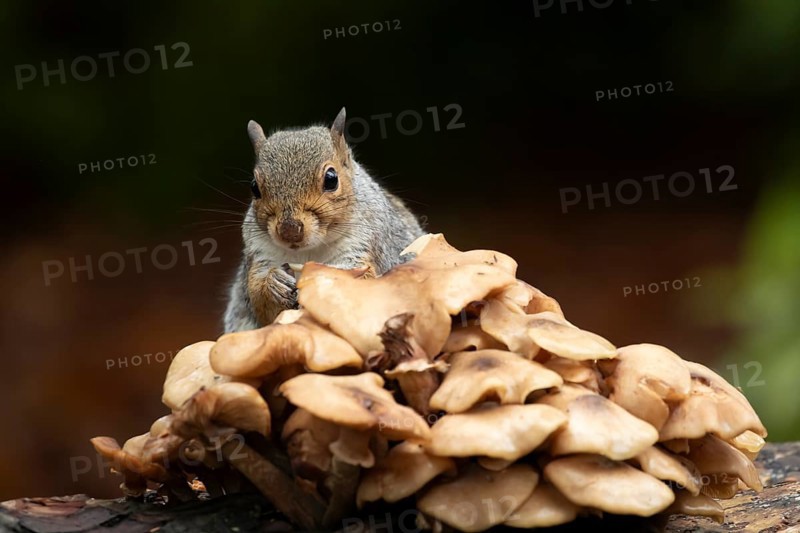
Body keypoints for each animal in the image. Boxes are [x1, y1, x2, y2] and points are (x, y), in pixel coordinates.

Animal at [223, 108, 424, 332]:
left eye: (331, 179)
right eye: (254, 187)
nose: (289, 230)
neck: (308, 252)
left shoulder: (368, 242)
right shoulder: (259, 253)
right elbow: (258, 299)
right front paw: (274, 284)